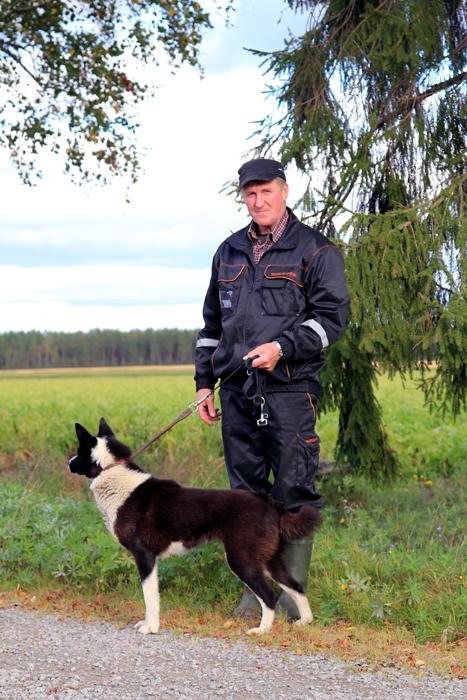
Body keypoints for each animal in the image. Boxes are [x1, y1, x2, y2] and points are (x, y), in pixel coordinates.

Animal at [67, 418, 322, 636]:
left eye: (78, 451)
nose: (68, 463)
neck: (112, 472)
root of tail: (268, 502)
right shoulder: (151, 560)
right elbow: (153, 596)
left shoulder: (144, 556)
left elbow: (150, 598)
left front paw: (151, 628)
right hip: (271, 561)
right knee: (296, 587)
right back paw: (304, 622)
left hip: (242, 560)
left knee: (268, 596)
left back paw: (262, 630)